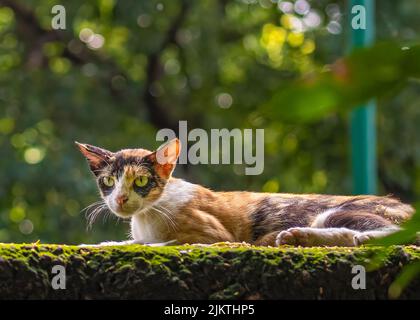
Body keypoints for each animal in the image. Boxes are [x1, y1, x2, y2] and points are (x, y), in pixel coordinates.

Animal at [75, 138, 414, 248]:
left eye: (141, 182)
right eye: (109, 181)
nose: (120, 199)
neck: (147, 217)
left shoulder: (214, 236)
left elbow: (161, 242)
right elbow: (133, 241)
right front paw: (101, 243)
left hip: (338, 211)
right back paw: (296, 237)